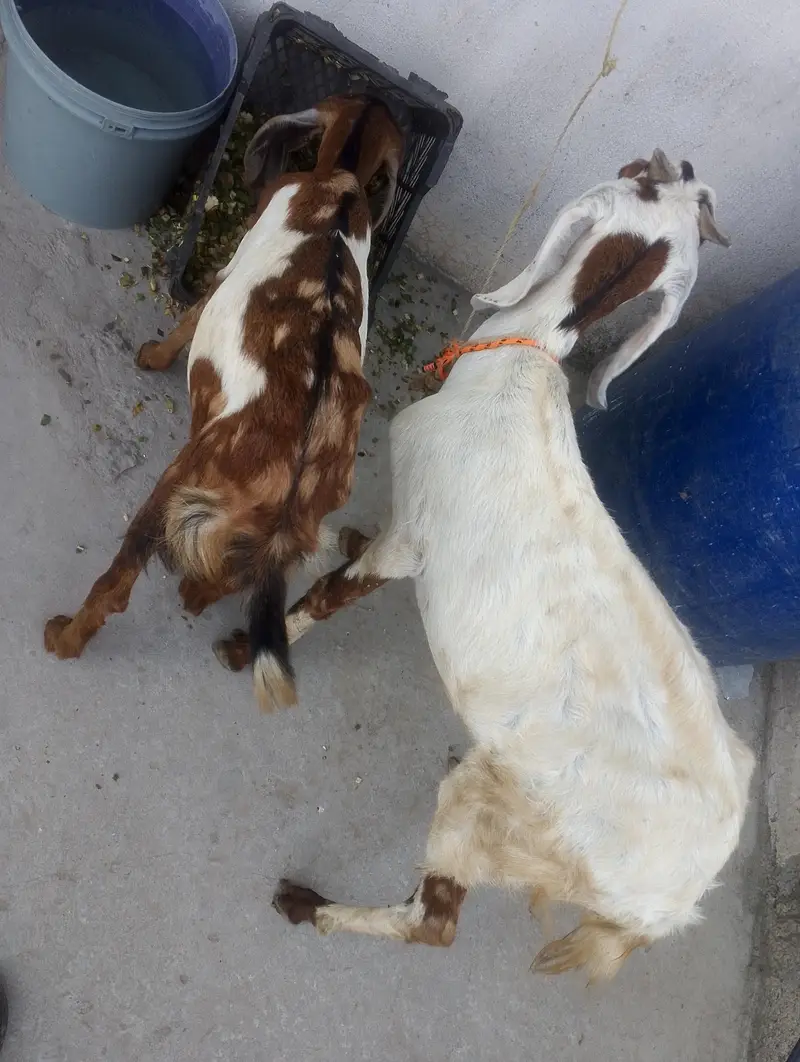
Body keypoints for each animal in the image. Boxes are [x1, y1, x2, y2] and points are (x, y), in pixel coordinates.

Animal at [44, 93, 406, 712]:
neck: (340, 185)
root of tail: (294, 482)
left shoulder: (225, 271)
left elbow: (189, 317)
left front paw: (153, 356)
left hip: (179, 484)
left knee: (118, 584)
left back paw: (64, 638)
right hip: (282, 530)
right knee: (236, 574)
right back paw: (195, 591)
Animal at [271, 153, 754, 981]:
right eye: (675, 186)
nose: (681, 162)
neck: (519, 359)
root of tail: (673, 906)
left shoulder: (415, 535)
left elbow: (334, 595)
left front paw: (257, 645)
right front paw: (345, 534)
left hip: (501, 813)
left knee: (434, 922)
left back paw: (311, 906)